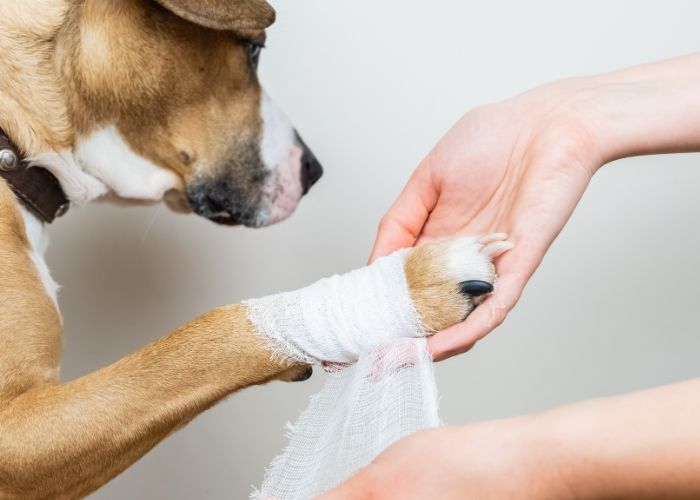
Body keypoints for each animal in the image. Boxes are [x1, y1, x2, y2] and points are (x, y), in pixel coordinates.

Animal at [0, 1, 506, 498]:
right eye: (255, 50)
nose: (314, 171)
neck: (17, 145)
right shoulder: (19, 435)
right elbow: (198, 340)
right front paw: (415, 284)